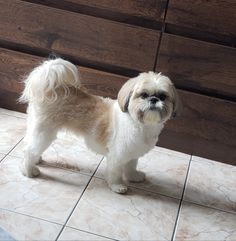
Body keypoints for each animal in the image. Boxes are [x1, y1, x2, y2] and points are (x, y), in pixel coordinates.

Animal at [19, 58, 183, 194]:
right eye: (143, 95)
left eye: (163, 96)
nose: (154, 99)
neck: (140, 124)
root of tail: (52, 88)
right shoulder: (117, 155)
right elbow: (115, 172)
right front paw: (118, 186)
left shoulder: (133, 152)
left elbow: (131, 166)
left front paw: (134, 176)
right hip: (45, 132)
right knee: (29, 150)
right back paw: (29, 170)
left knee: (31, 146)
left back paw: (37, 160)